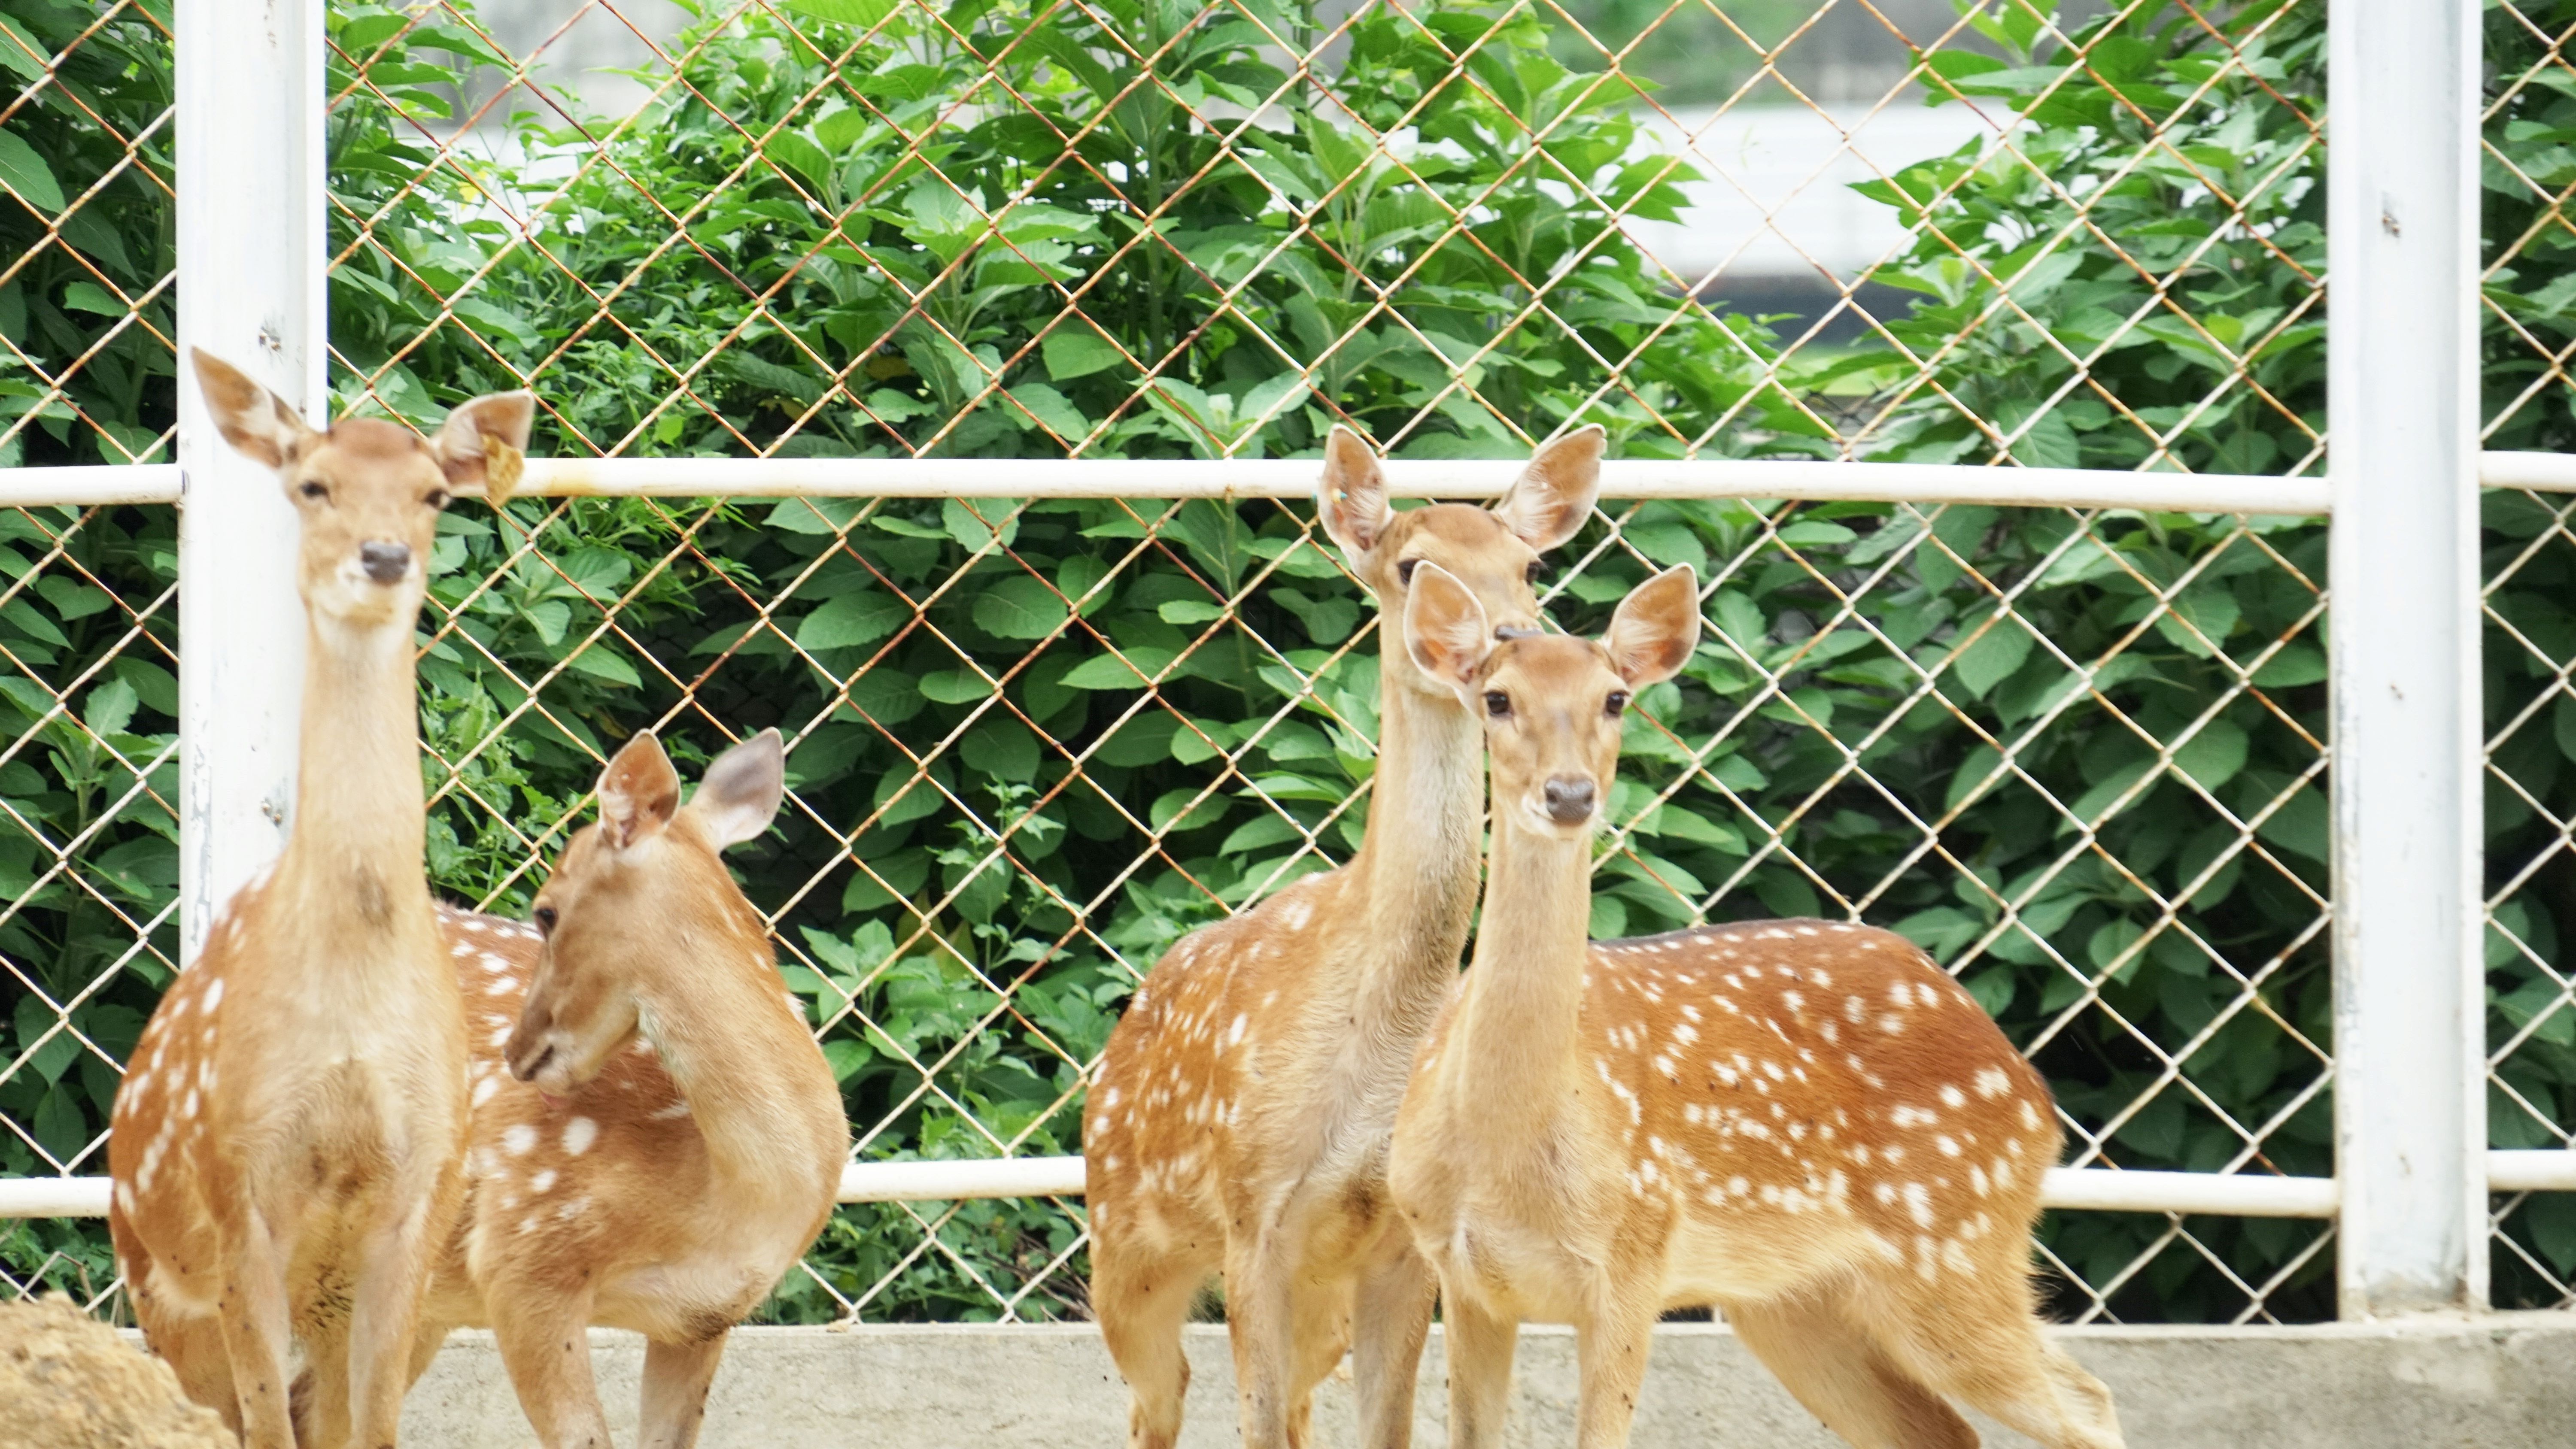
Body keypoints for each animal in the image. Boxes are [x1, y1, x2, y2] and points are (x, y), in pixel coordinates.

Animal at [103, 345, 536, 1441]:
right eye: (312, 484)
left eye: (433, 493)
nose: (382, 558)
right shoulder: (238, 1183)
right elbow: (264, 1423)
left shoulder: (417, 1188)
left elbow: (370, 1426)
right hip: (160, 1283)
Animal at [1087, 422, 1607, 1449]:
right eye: (1412, 565)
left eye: (1529, 565)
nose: (1509, 638)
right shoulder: (1253, 1211)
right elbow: (1249, 1423)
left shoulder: (1401, 1239)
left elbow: (1381, 1426)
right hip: (1123, 1241)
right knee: (1156, 1398)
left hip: (1312, 1292)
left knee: (1287, 1405)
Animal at [1391, 564, 2133, 1449]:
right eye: (1497, 699)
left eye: (1616, 699)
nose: (1569, 795)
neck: (1505, 1147)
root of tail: (2033, 1092)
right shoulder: (1465, 1280)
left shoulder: (1633, 1262)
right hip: (1794, 1299)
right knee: (1943, 1428)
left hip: (1958, 1247)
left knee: (2087, 1402)